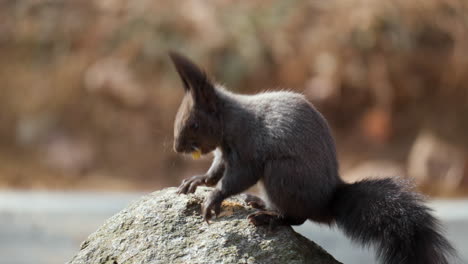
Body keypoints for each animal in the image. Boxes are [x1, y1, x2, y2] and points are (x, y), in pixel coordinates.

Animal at [169, 51, 458, 264]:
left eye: (194, 124)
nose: (177, 147)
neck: (232, 120)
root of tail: (326, 202)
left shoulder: (249, 150)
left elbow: (236, 178)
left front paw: (213, 199)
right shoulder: (223, 154)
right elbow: (215, 171)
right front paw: (196, 180)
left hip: (282, 174)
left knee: (297, 217)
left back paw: (269, 217)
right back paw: (258, 203)